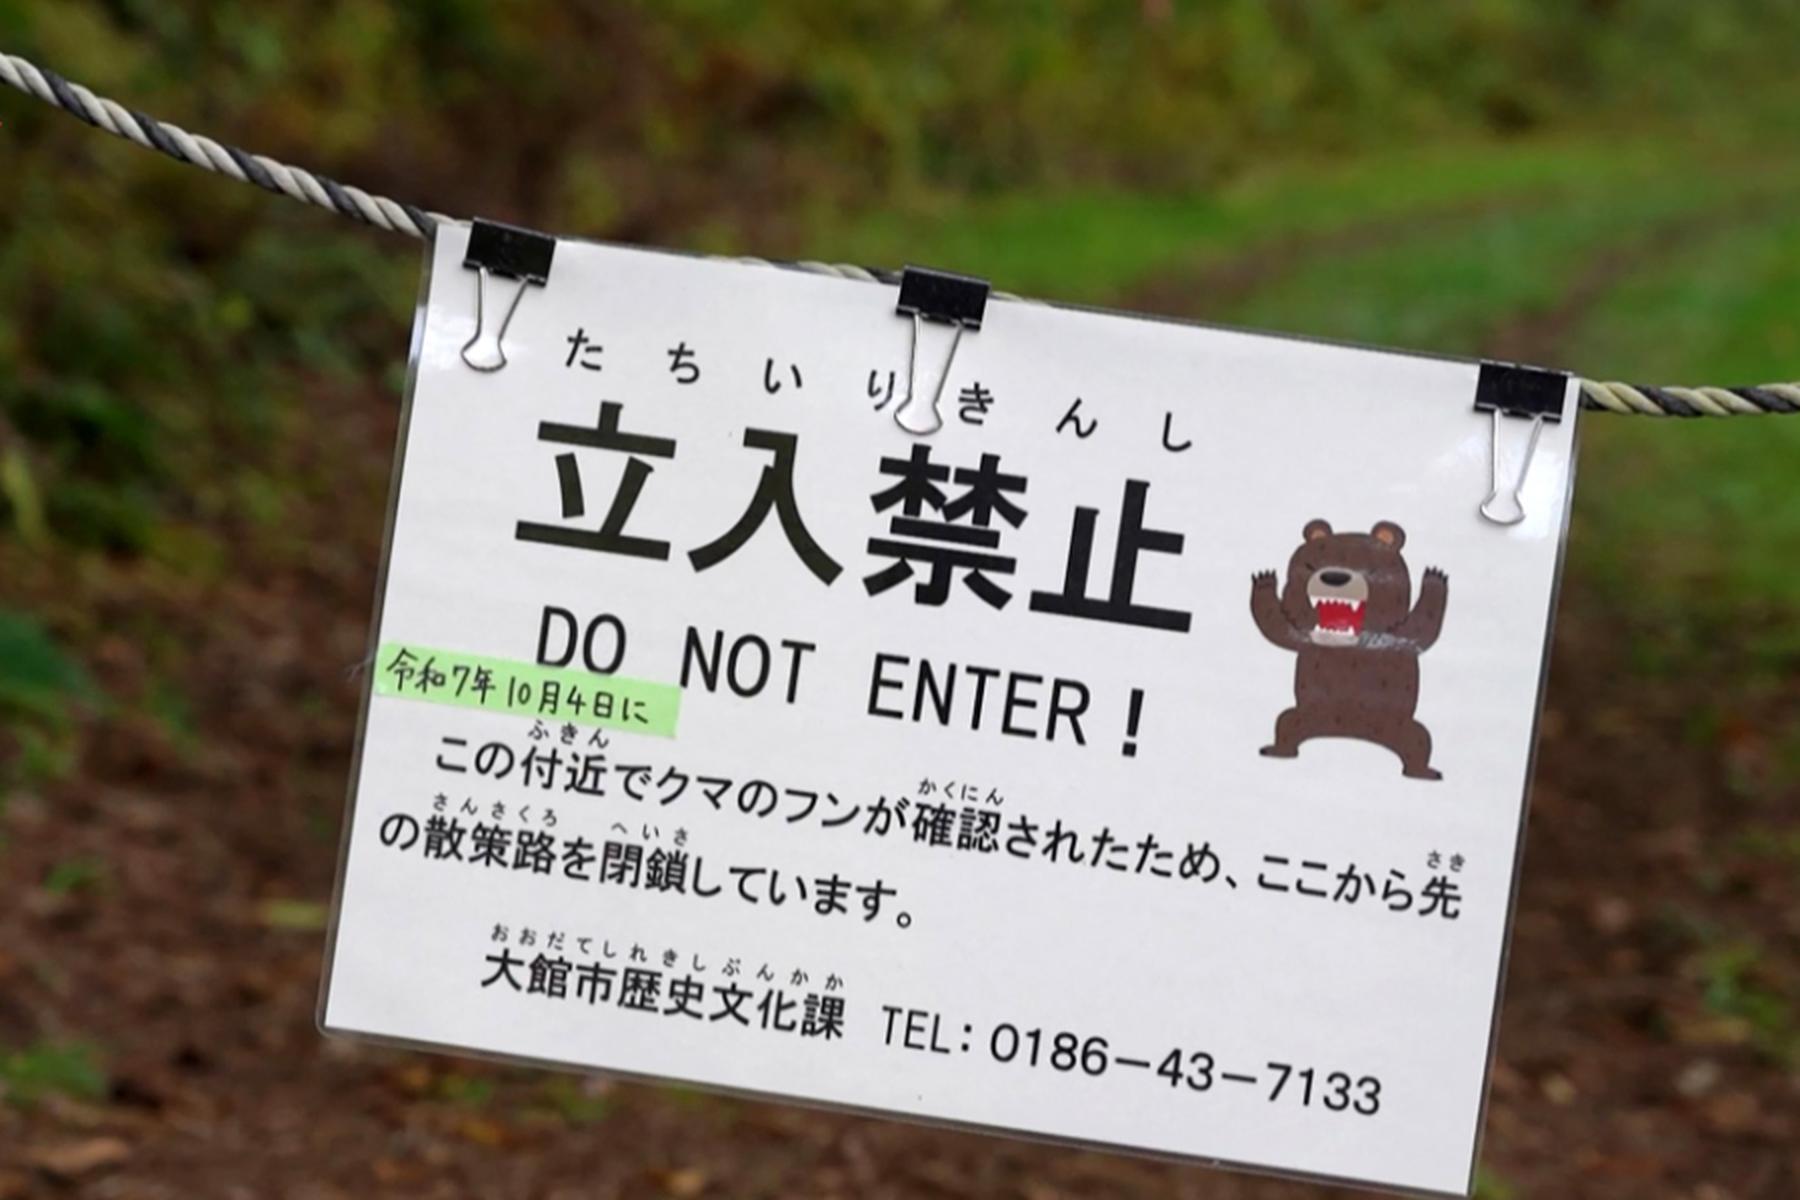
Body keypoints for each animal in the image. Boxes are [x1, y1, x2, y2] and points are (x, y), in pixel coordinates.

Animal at [1250, 519, 1448, 779]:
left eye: (1371, 569)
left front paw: (1435, 578)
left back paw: (1422, 771)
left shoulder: (1395, 640)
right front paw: (1264, 580)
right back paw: (1278, 750)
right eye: (1311, 564)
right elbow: (1279, 628)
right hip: (1309, 714)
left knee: (1419, 739)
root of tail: (1349, 728)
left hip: (1396, 724)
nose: (1334, 576)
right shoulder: (1305, 639)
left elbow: (1420, 632)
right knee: (1286, 722)